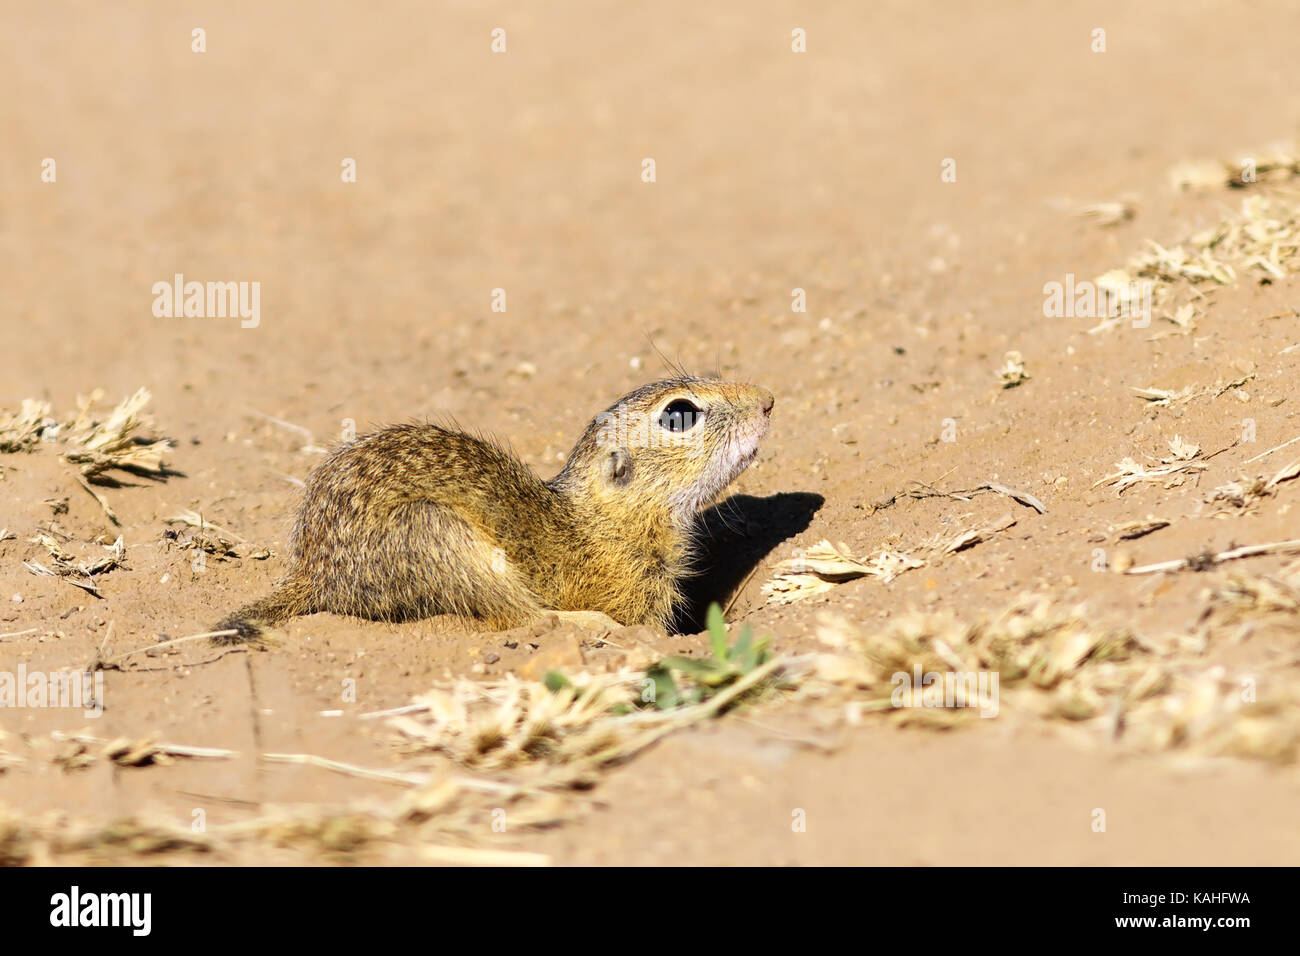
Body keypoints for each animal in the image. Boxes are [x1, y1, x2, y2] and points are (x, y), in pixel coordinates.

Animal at [213, 376, 774, 642]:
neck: (606, 521)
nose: (768, 400)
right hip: (435, 533)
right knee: (521, 616)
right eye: (680, 414)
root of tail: (312, 574)